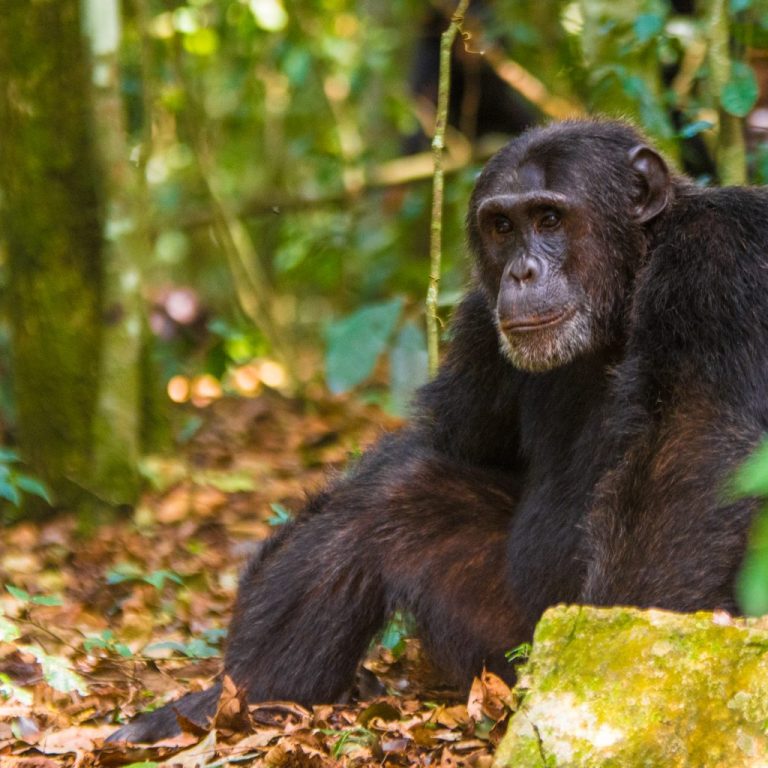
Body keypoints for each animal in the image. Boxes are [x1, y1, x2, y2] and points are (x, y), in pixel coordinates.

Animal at [111, 121, 764, 744]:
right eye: (502, 226)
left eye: (550, 218)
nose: (522, 271)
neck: (627, 282)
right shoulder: (477, 323)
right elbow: (446, 444)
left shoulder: (719, 259)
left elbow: (688, 450)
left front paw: (610, 680)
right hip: (505, 641)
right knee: (393, 494)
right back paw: (237, 698)